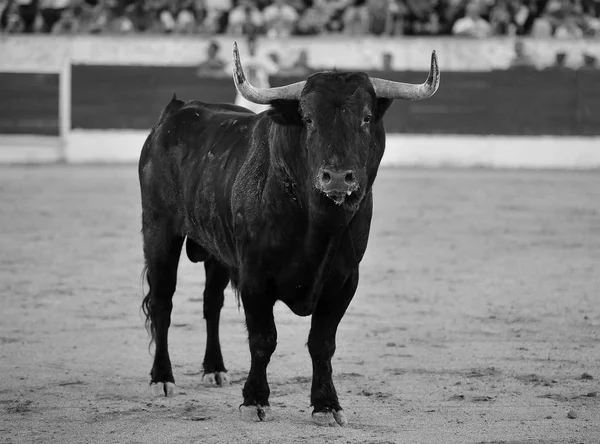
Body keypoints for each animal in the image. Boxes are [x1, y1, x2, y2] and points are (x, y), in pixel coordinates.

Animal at [141, 42, 440, 426]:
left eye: (366, 118)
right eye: (308, 119)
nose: (338, 177)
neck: (318, 225)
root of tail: (176, 112)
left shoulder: (344, 281)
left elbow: (322, 343)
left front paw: (326, 405)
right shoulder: (255, 277)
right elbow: (263, 339)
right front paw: (255, 400)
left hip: (216, 250)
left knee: (211, 303)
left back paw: (215, 369)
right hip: (159, 231)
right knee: (162, 302)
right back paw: (162, 378)